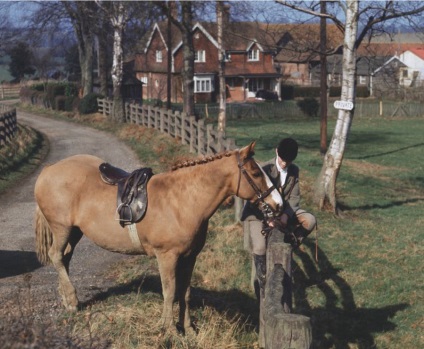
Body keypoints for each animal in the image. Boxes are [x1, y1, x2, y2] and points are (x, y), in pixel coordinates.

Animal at [34, 141, 284, 332]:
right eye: (255, 173)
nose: (278, 205)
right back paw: (72, 299)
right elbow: (170, 292)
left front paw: (188, 328)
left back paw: (67, 299)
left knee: (65, 258)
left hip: (74, 231)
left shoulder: (189, 258)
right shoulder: (167, 257)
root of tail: (48, 170)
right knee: (56, 256)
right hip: (62, 228)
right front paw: (169, 329)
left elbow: (184, 293)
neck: (182, 201)